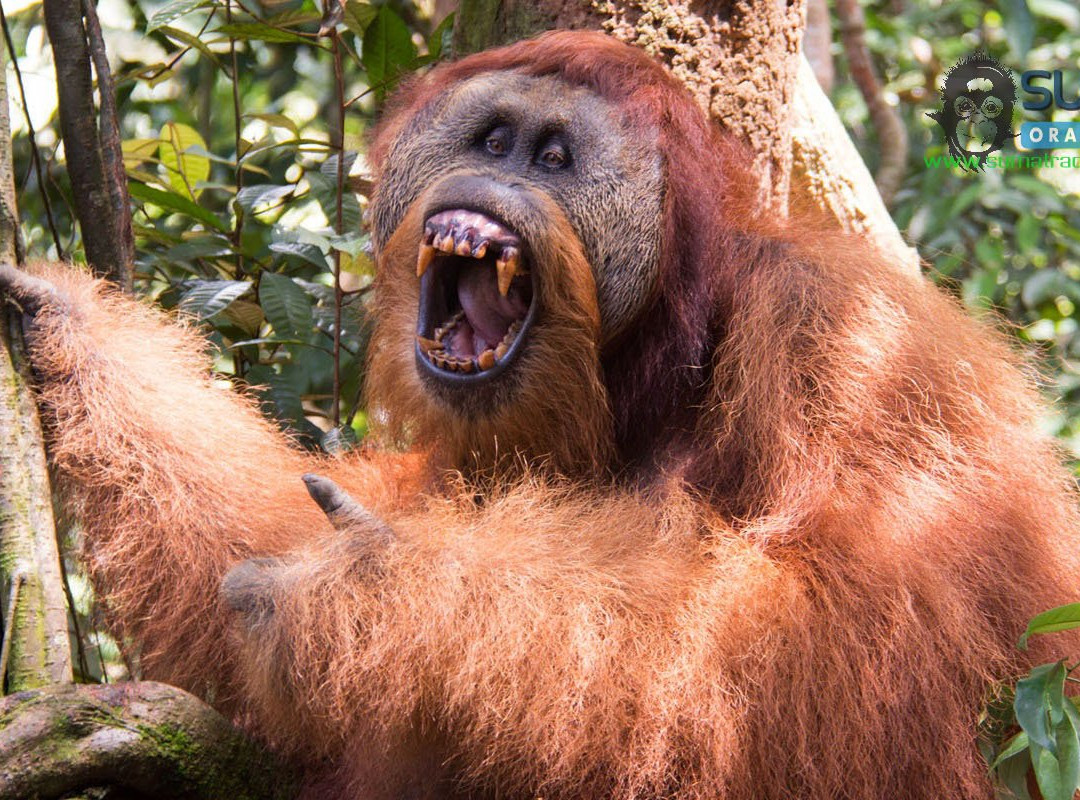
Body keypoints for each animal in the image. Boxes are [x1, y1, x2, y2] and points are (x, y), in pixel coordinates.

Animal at [2, 30, 1079, 800]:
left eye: (556, 156)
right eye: (490, 139)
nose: (496, 177)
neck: (643, 373)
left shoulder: (851, 338)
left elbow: (849, 627)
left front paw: (371, 581)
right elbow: (250, 645)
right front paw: (61, 319)